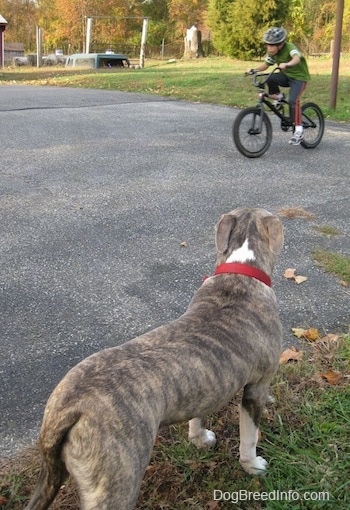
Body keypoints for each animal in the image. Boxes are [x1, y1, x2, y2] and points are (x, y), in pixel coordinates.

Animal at [25, 207, 284, 510]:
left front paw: (200, 440)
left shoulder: (205, 385)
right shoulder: (256, 388)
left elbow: (197, 418)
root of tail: (68, 407)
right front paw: (253, 466)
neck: (241, 268)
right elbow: (249, 437)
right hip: (117, 484)